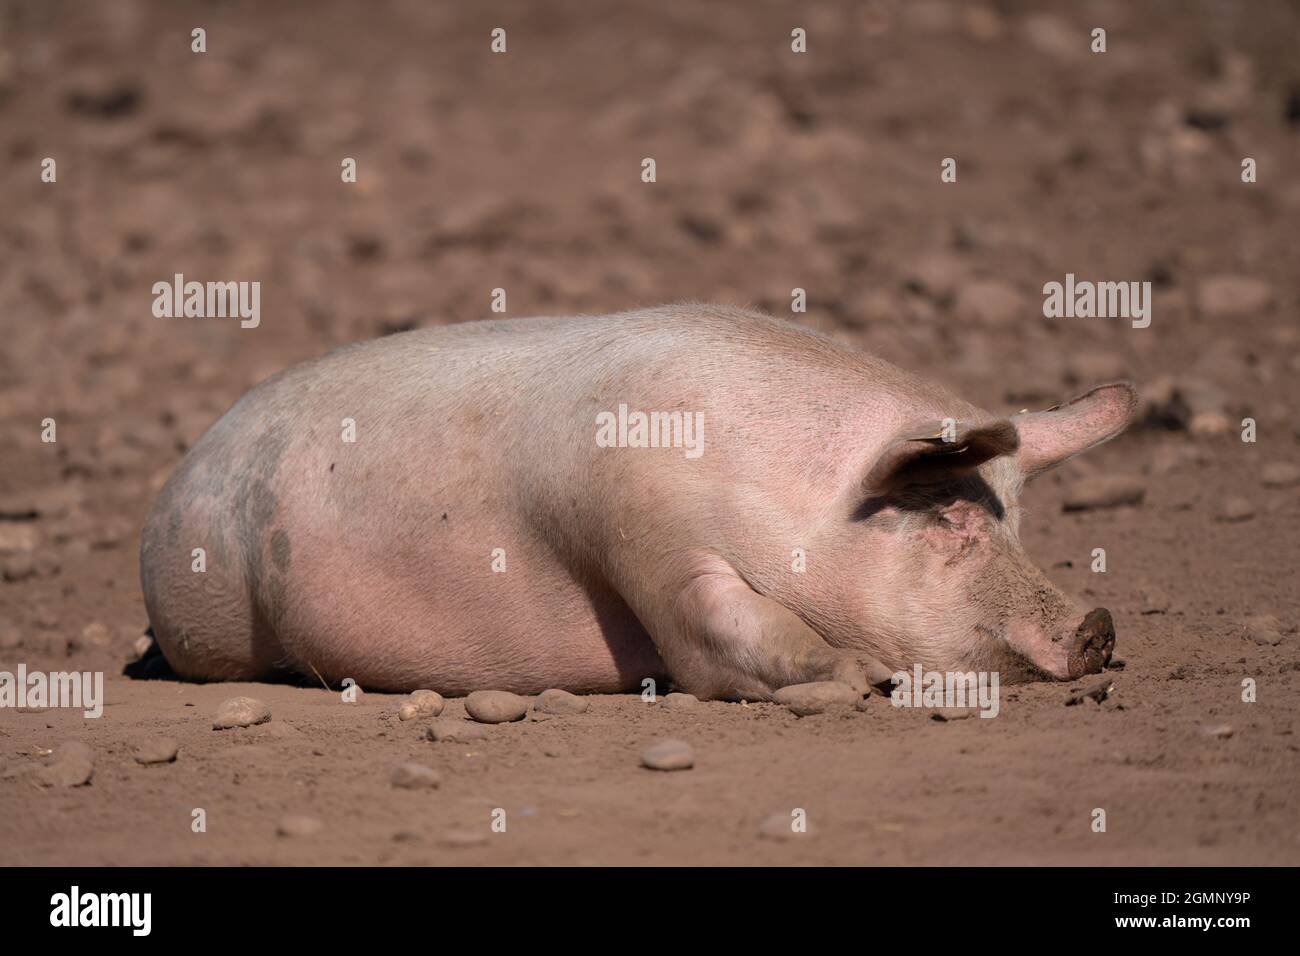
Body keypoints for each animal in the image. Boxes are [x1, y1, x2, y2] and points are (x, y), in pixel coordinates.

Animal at [142, 306, 1133, 702]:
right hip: (211, 622)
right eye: (947, 520)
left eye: (1016, 522)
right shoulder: (632, 526)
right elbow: (714, 631)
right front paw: (861, 676)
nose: (1097, 625)